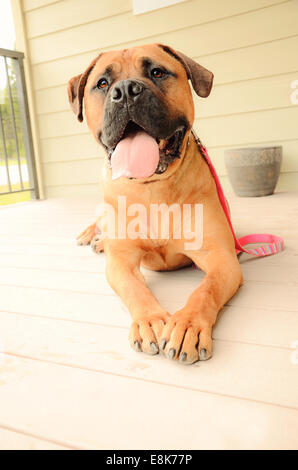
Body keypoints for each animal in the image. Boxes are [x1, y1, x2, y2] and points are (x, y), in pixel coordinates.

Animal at [68, 43, 243, 364]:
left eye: (157, 72)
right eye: (103, 83)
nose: (126, 90)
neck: (153, 189)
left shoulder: (222, 259)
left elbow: (205, 290)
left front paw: (187, 324)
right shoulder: (122, 263)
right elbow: (135, 288)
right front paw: (149, 320)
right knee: (100, 221)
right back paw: (93, 237)